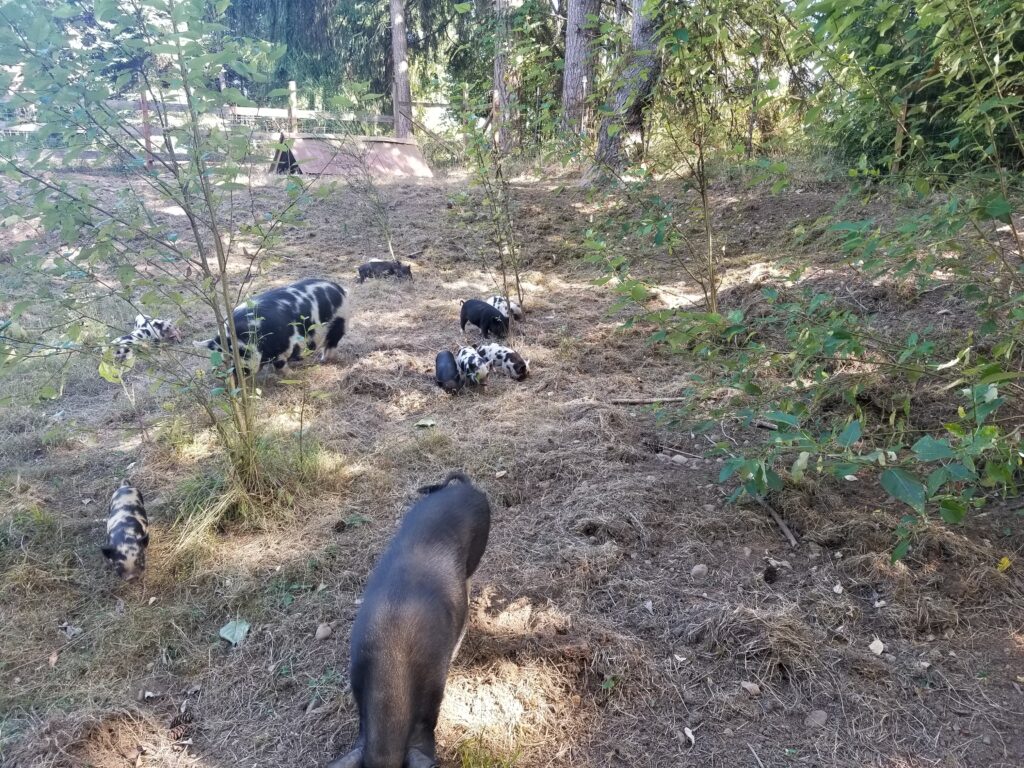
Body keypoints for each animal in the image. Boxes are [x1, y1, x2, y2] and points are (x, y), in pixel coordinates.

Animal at [194, 278, 350, 375]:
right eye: (226, 356)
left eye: (244, 351)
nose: (241, 371)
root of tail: (340, 289)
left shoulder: (286, 346)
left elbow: (280, 363)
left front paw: (290, 375)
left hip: (340, 322)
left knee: (332, 343)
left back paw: (323, 360)